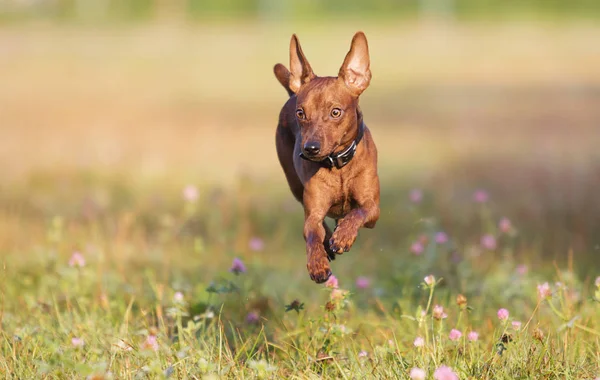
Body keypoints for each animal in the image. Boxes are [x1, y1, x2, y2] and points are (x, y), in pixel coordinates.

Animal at [274, 31, 380, 282]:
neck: (338, 165)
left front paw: (343, 236)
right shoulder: (313, 213)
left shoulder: (373, 208)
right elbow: (312, 233)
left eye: (335, 112)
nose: (310, 148)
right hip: (295, 186)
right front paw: (317, 263)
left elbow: (358, 212)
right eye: (300, 113)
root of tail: (292, 91)